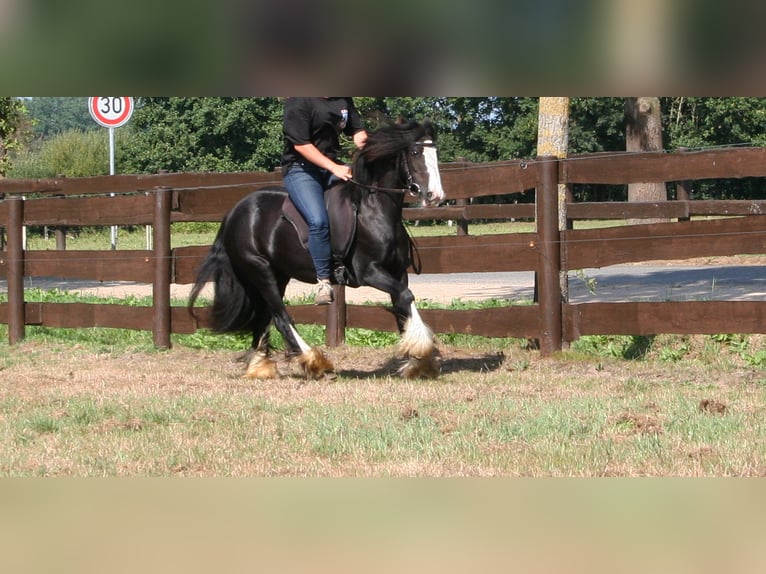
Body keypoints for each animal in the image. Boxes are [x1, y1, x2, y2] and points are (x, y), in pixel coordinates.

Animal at [188, 120, 448, 382]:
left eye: (435, 153)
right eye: (415, 152)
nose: (435, 196)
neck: (372, 210)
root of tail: (234, 213)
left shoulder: (397, 272)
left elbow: (402, 305)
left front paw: (417, 362)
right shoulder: (369, 272)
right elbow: (405, 297)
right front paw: (423, 354)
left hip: (277, 275)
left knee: (264, 316)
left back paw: (261, 367)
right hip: (260, 270)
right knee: (281, 317)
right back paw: (315, 362)